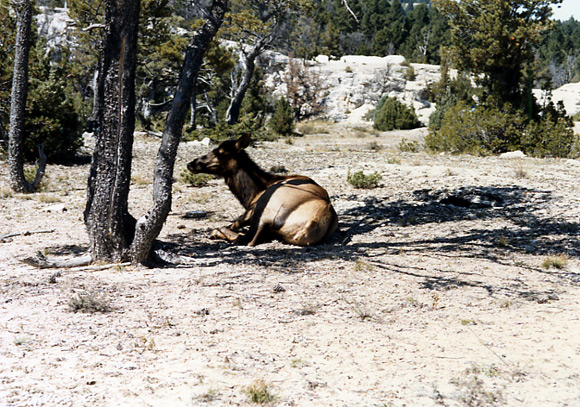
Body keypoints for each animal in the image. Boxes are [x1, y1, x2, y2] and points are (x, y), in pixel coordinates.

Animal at [188, 135, 338, 247]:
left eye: (220, 152)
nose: (191, 164)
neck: (252, 193)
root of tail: (311, 225)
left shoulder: (251, 209)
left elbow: (234, 223)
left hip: (265, 210)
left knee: (247, 239)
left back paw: (216, 233)